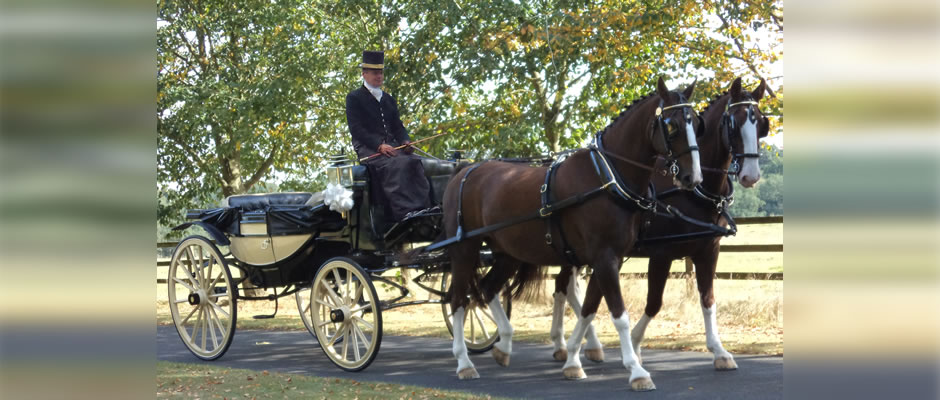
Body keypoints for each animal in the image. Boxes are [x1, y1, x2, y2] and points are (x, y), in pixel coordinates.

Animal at [444, 78, 700, 390]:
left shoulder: (609, 258)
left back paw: (503, 345)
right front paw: (637, 371)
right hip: (464, 250)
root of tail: (464, 171)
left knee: (487, 287)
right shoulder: (604, 258)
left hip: (507, 253)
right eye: (671, 125)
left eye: (695, 121)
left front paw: (574, 361)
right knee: (458, 300)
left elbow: (588, 309)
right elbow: (617, 314)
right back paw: (464, 362)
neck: (607, 177)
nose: (692, 177)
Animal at [552, 78, 772, 372]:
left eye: (761, 123)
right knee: (565, 287)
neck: (695, 191)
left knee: (568, 288)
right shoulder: (661, 254)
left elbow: (708, 300)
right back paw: (567, 345)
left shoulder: (708, 250)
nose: (751, 176)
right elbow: (654, 302)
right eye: (734, 123)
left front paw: (719, 351)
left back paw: (578, 345)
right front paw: (634, 345)